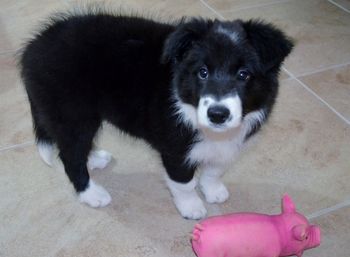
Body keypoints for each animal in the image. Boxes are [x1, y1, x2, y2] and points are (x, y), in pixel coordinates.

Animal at [19, 10, 292, 218]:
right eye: (202, 72)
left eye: (244, 75)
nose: (217, 114)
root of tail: (32, 49)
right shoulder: (175, 148)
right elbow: (184, 182)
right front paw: (192, 207)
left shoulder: (228, 144)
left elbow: (215, 169)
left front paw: (213, 191)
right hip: (73, 115)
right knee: (70, 155)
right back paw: (92, 193)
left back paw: (95, 159)